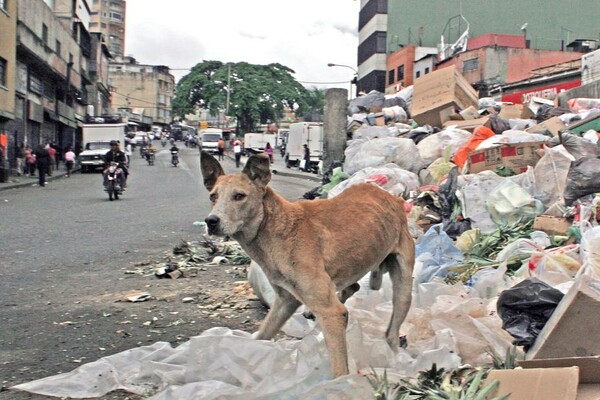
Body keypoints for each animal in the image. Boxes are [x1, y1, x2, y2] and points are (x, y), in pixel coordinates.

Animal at [199, 152, 414, 376]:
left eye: (239, 196)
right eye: (213, 196)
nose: (211, 221)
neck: (275, 229)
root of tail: (395, 197)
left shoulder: (330, 312)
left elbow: (340, 368)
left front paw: (344, 382)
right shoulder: (285, 301)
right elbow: (264, 332)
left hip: (403, 288)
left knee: (391, 329)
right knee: (352, 286)